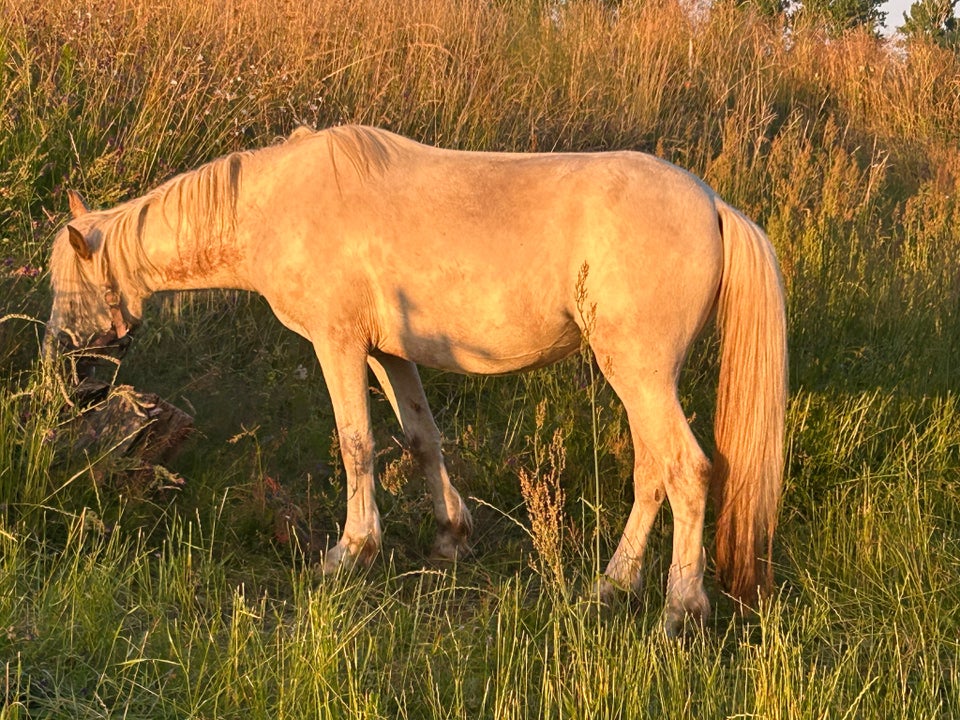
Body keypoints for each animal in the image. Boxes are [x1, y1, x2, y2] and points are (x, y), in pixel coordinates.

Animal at [43, 125, 788, 636]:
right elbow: (419, 440)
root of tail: (716, 205)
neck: (277, 207)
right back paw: (610, 588)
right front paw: (451, 537)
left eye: (66, 282)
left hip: (639, 373)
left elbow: (357, 445)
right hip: (637, 379)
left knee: (686, 470)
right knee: (653, 471)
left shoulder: (338, 344)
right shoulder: (388, 353)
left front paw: (349, 554)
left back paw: (678, 611)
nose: (64, 368)